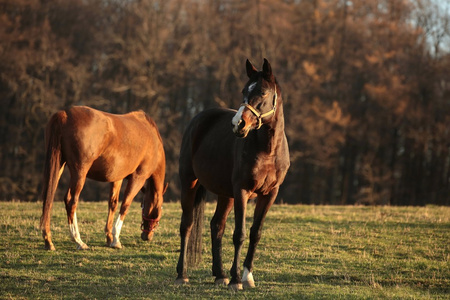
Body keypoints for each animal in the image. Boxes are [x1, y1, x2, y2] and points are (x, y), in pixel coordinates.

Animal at [39, 105, 166, 251]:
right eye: (159, 210)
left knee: (49, 199)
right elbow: (125, 205)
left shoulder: (117, 178)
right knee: (71, 201)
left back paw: (48, 240)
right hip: (80, 172)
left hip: (58, 165)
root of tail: (64, 115)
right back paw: (78, 241)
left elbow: (113, 204)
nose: (147, 236)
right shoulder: (138, 177)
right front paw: (116, 239)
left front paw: (109, 238)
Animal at [174, 57, 290, 290]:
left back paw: (219, 274)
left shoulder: (269, 194)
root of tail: (198, 118)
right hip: (190, 183)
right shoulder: (242, 191)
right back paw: (182, 274)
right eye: (244, 90)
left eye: (263, 92)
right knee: (187, 224)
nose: (238, 124)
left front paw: (247, 276)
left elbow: (255, 233)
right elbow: (239, 234)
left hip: (225, 194)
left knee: (216, 225)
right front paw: (236, 280)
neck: (268, 150)